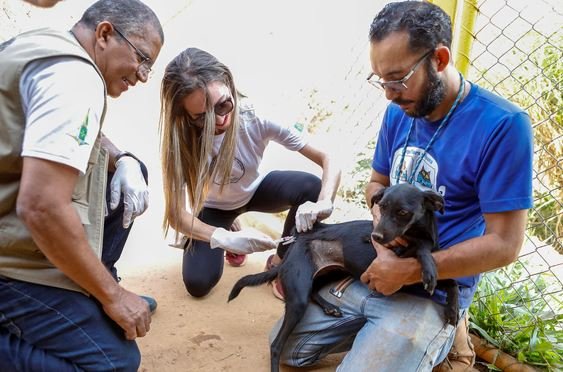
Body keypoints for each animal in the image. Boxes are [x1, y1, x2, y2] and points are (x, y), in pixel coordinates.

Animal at [228, 184, 458, 372]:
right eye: (381, 207)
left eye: (403, 212)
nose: (374, 237)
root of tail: (297, 239)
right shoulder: (397, 259)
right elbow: (421, 247)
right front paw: (429, 268)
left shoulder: (405, 273)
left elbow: (452, 281)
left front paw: (453, 310)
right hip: (298, 296)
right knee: (276, 345)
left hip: (332, 271)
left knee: (314, 290)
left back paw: (330, 307)